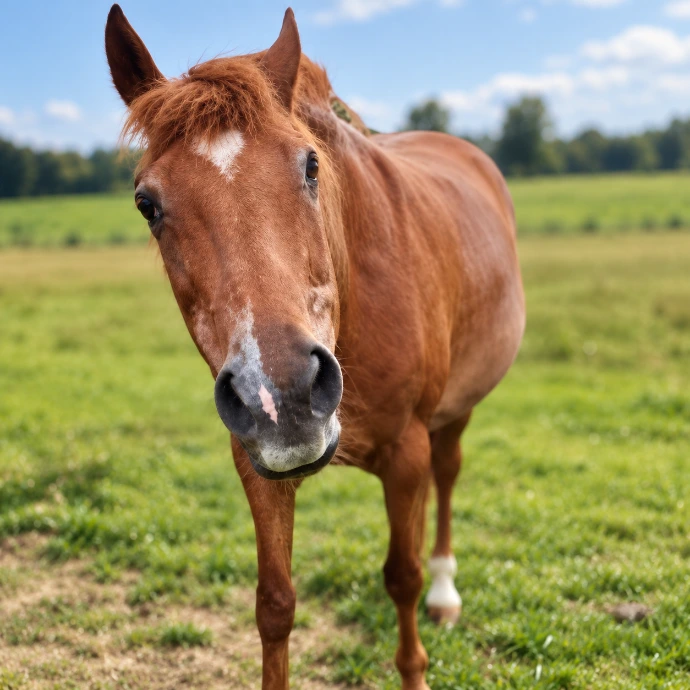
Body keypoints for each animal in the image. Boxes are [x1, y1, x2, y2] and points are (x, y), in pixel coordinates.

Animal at [105, 5, 525, 688]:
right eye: (147, 204)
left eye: (310, 166)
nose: (283, 395)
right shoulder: (257, 462)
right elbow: (274, 604)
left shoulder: (405, 452)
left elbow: (401, 579)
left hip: (455, 409)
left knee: (447, 475)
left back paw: (445, 593)